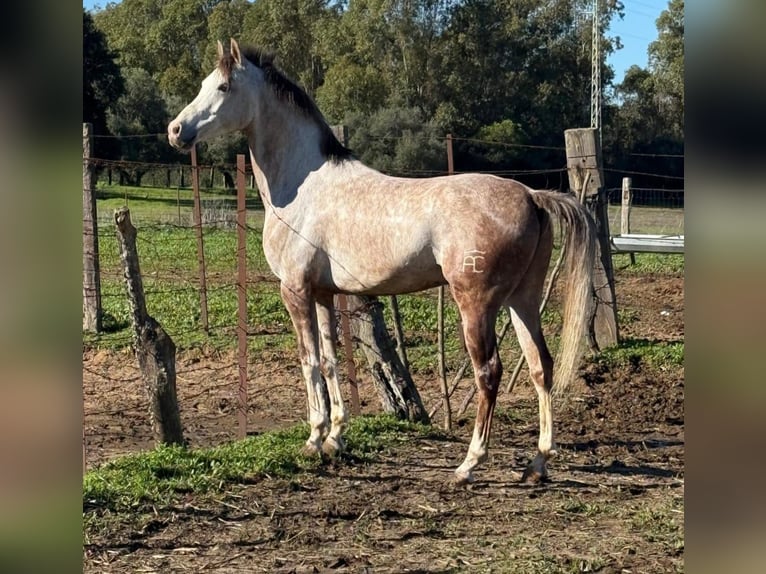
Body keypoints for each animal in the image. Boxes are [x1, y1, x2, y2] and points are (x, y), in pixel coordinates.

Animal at [168, 39, 596, 485]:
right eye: (204, 84)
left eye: (223, 86)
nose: (176, 131)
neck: (304, 183)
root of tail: (531, 195)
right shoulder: (323, 293)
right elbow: (331, 361)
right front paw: (335, 439)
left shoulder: (295, 291)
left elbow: (309, 361)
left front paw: (313, 439)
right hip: (522, 300)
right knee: (541, 366)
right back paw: (538, 463)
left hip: (477, 305)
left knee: (489, 372)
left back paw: (468, 464)